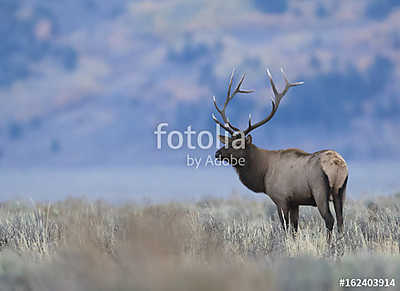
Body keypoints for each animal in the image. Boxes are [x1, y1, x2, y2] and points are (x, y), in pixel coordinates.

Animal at [212, 69, 346, 242]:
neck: (263, 173)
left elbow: (286, 227)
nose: (217, 153)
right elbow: (295, 228)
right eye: (228, 141)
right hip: (341, 190)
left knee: (329, 219)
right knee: (341, 219)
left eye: (238, 144)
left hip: (320, 190)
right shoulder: (295, 201)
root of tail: (338, 165)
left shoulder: (281, 199)